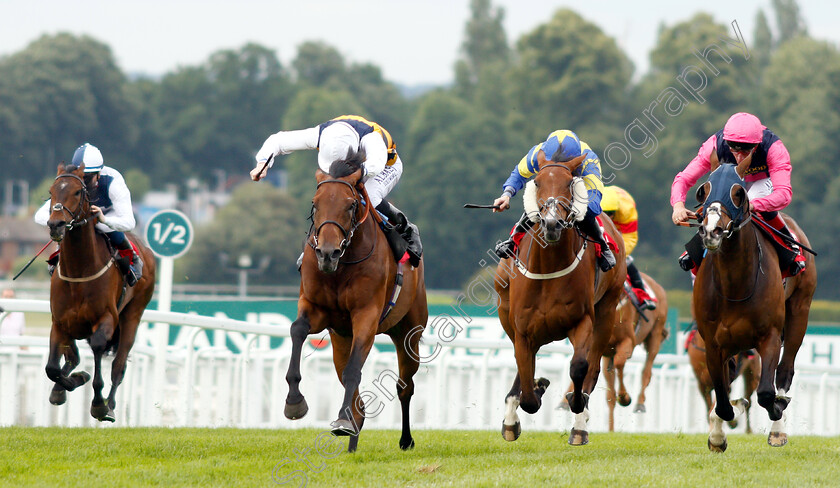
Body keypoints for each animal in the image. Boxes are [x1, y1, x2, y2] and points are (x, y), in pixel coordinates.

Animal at [44, 162, 156, 422]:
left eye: (77, 192)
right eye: (51, 192)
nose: (56, 225)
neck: (78, 272)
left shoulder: (106, 318)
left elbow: (97, 348)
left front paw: (98, 403)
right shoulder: (59, 322)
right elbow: (52, 368)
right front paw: (70, 383)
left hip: (132, 316)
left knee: (118, 365)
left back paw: (110, 405)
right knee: (73, 357)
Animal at [282, 153, 426, 454]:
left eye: (350, 205)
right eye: (315, 203)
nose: (327, 253)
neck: (342, 264)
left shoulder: (366, 316)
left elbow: (353, 372)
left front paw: (340, 420)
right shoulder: (315, 307)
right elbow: (297, 330)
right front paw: (294, 402)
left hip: (410, 332)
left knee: (404, 386)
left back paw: (405, 439)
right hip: (340, 340)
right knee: (358, 399)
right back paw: (352, 437)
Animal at [492, 153, 624, 446]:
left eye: (568, 184)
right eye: (537, 182)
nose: (551, 223)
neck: (548, 267)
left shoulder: (583, 321)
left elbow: (579, 367)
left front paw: (576, 404)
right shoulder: (522, 329)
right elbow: (528, 388)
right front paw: (534, 391)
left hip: (607, 312)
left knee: (593, 366)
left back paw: (580, 424)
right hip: (506, 311)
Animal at [556, 270, 668, 430]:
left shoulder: (628, 342)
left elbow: (620, 363)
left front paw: (625, 397)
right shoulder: (600, 348)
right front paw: (566, 401)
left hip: (655, 335)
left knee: (646, 371)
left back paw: (639, 403)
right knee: (610, 395)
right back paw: (611, 428)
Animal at [692, 154, 816, 452]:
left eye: (738, 193)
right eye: (703, 190)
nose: (712, 231)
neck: (734, 284)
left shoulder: (769, 336)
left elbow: (766, 393)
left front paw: (776, 411)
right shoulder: (712, 344)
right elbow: (723, 400)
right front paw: (718, 434)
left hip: (800, 310)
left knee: (785, 371)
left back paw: (778, 426)